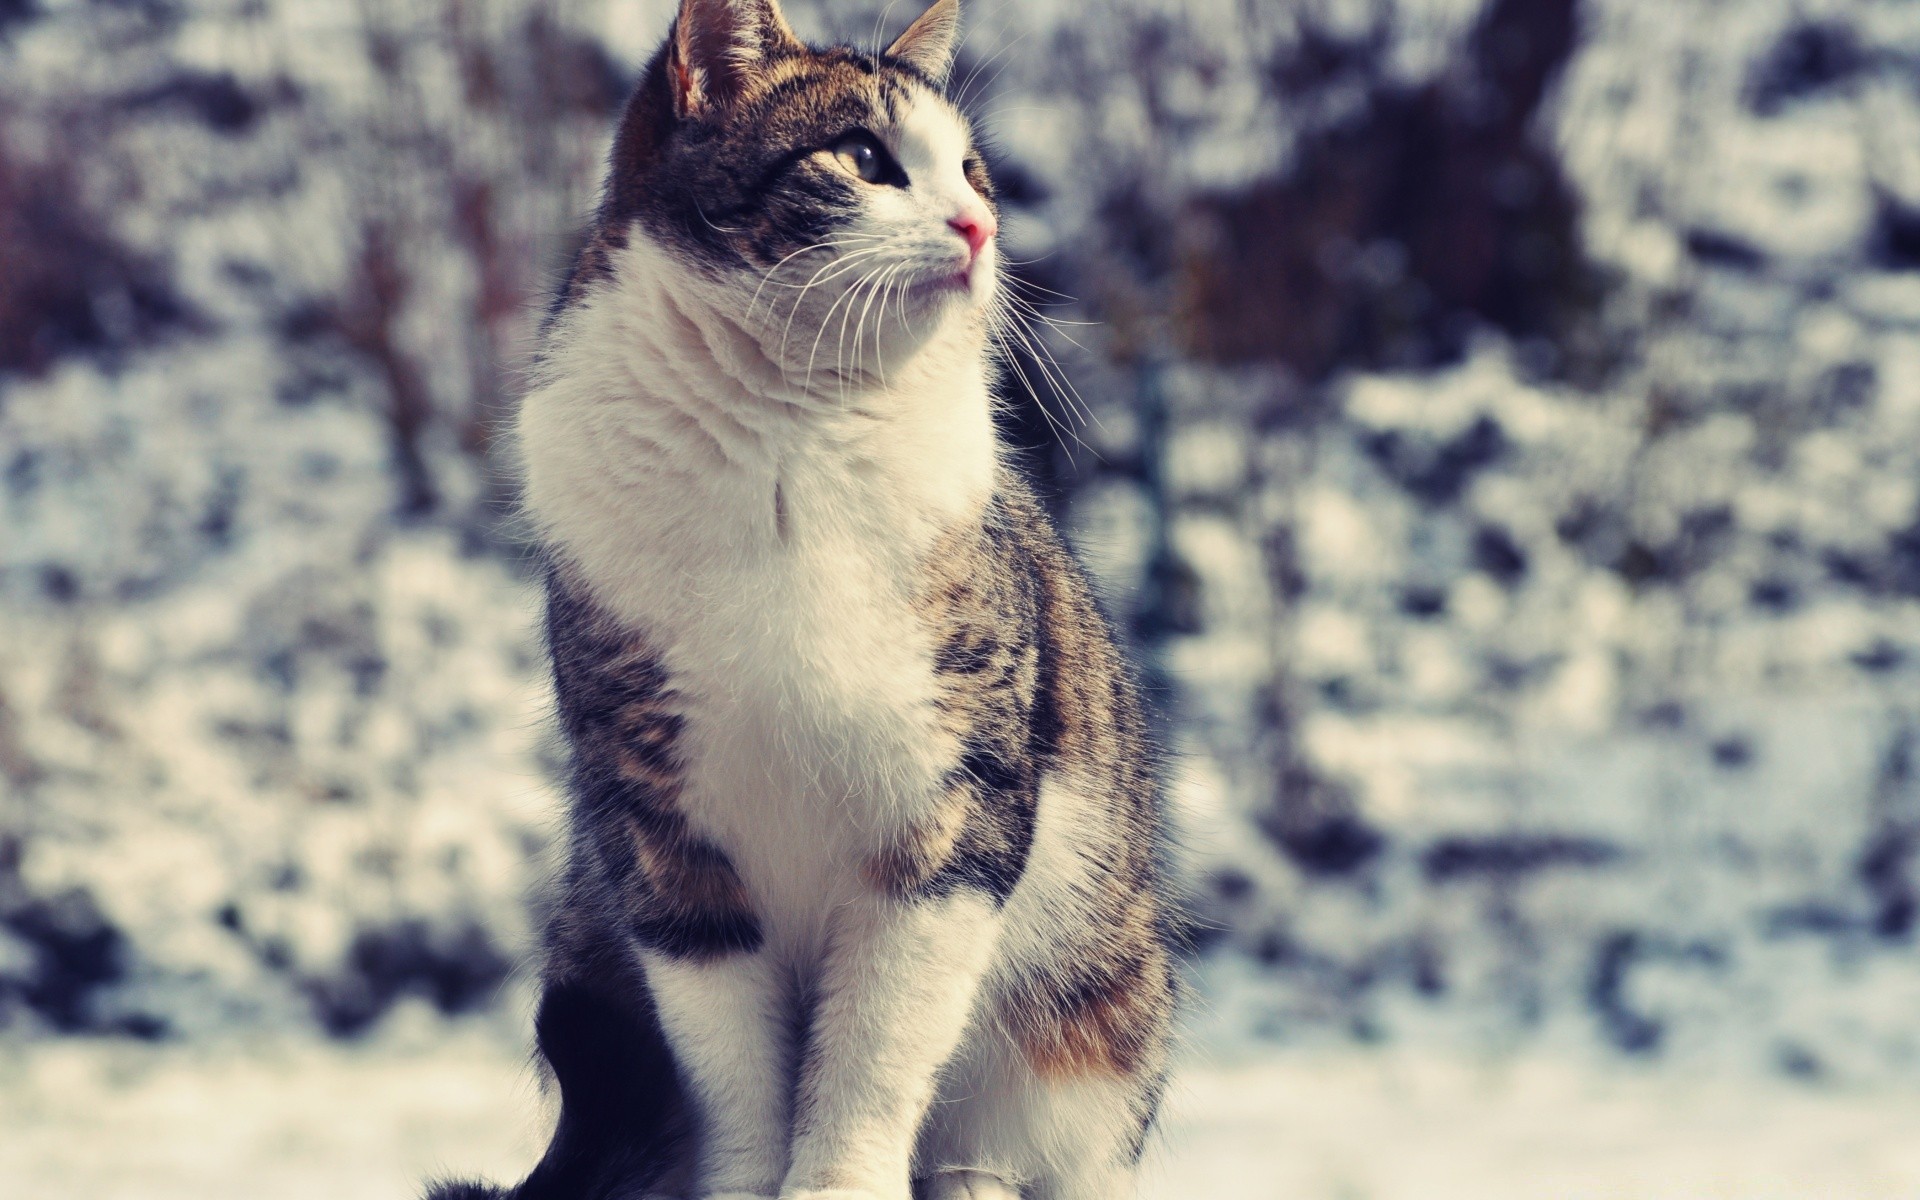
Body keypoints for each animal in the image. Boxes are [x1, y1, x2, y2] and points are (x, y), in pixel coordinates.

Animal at [430, 2, 1175, 1198]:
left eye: (971, 170)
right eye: (865, 158)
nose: (979, 225)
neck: (788, 430)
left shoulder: (954, 806)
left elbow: (878, 1040)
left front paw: (840, 1180)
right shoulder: (662, 834)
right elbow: (730, 1064)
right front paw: (746, 1180)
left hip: (1100, 1012)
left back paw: (974, 1175)